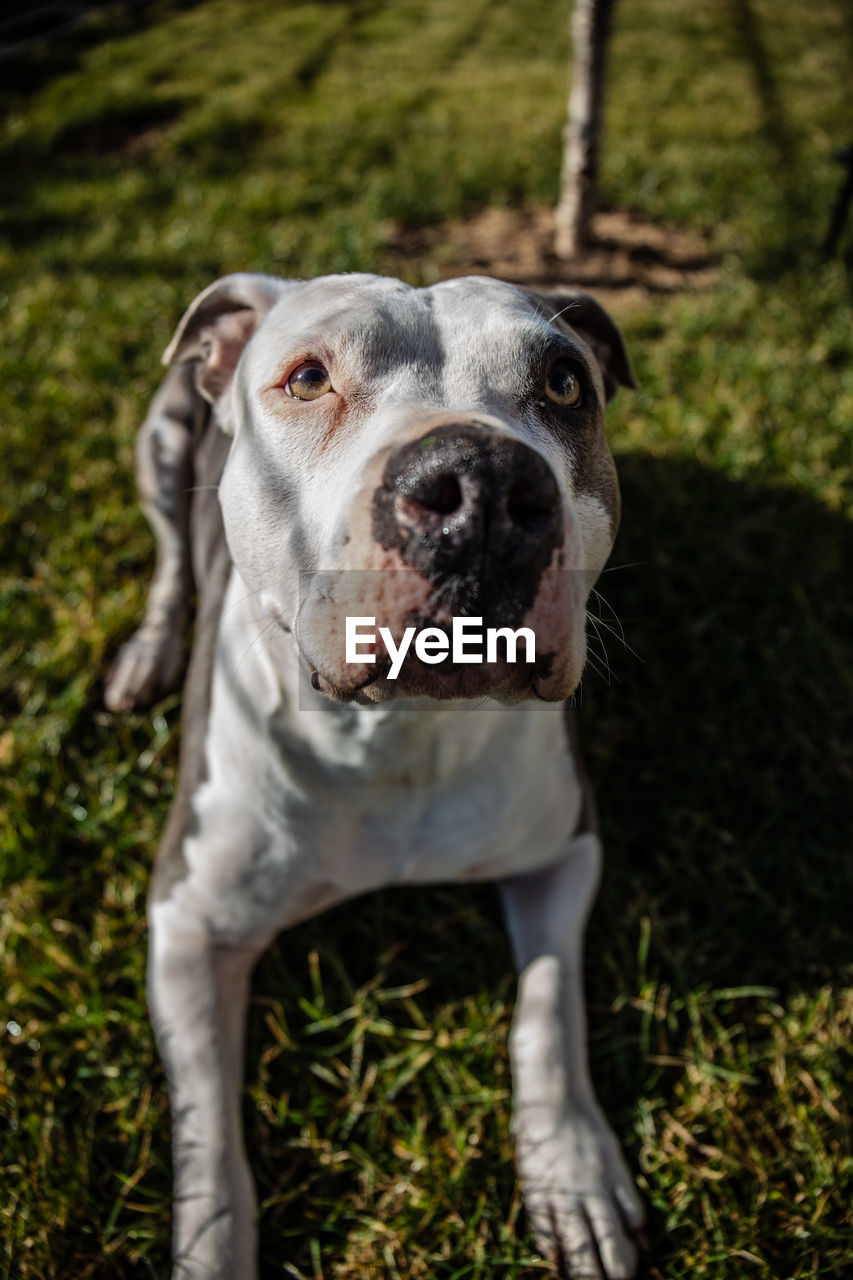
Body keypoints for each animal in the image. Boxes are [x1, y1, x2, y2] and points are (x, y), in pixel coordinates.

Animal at [103, 264, 640, 1274]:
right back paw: (150, 651)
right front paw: (212, 1245)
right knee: (168, 560)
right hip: (158, 442)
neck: (396, 736)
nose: (480, 482)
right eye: (308, 379)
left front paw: (575, 1177)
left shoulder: (567, 848)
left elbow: (549, 1013)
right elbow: (206, 1135)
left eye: (562, 384)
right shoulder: (188, 922)